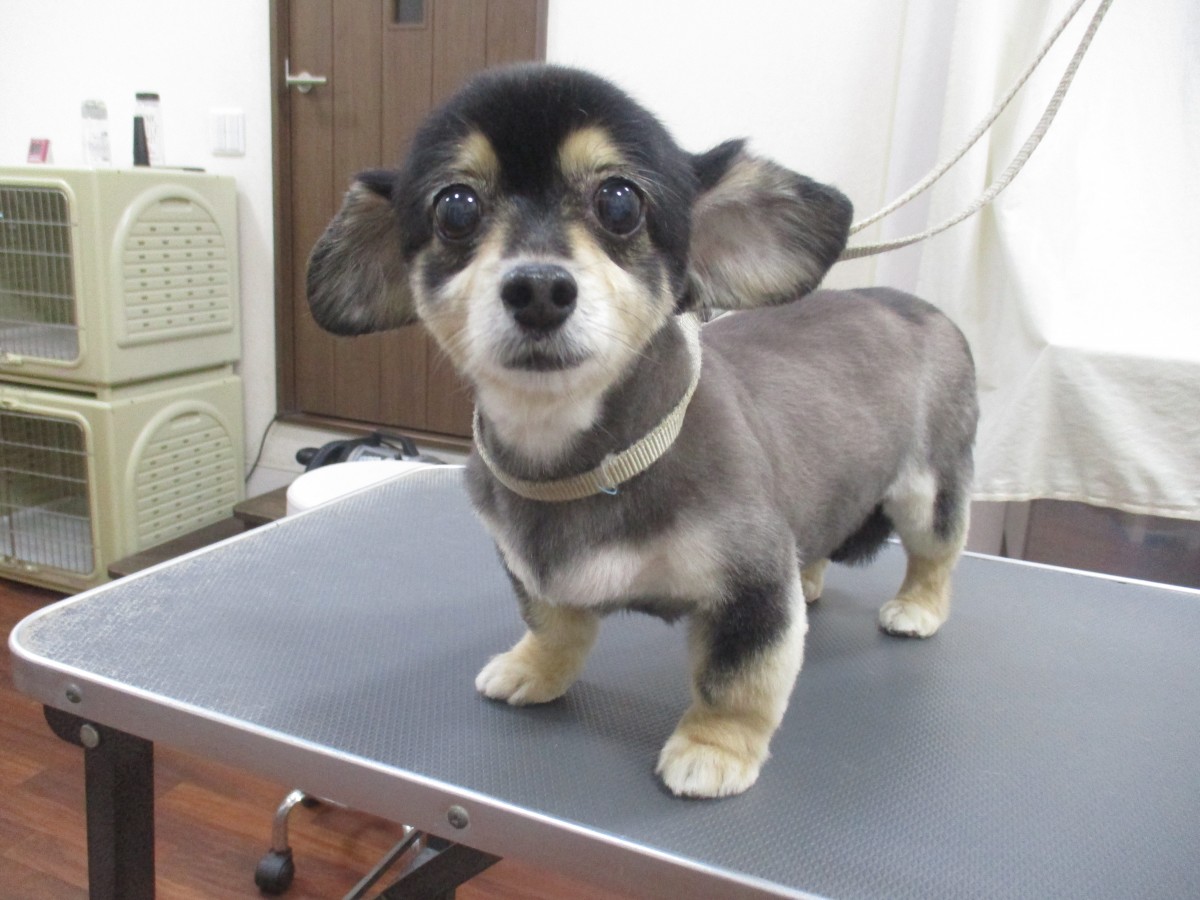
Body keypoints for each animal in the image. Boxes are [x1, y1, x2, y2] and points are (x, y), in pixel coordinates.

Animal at [306, 64, 978, 798]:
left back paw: (917, 608)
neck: (580, 463)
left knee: (935, 553)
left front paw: (715, 748)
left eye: (620, 202)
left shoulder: (750, 586)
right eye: (456, 208)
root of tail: (925, 308)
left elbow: (736, 678)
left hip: (928, 489)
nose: (538, 288)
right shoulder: (530, 570)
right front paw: (533, 668)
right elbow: (554, 625)